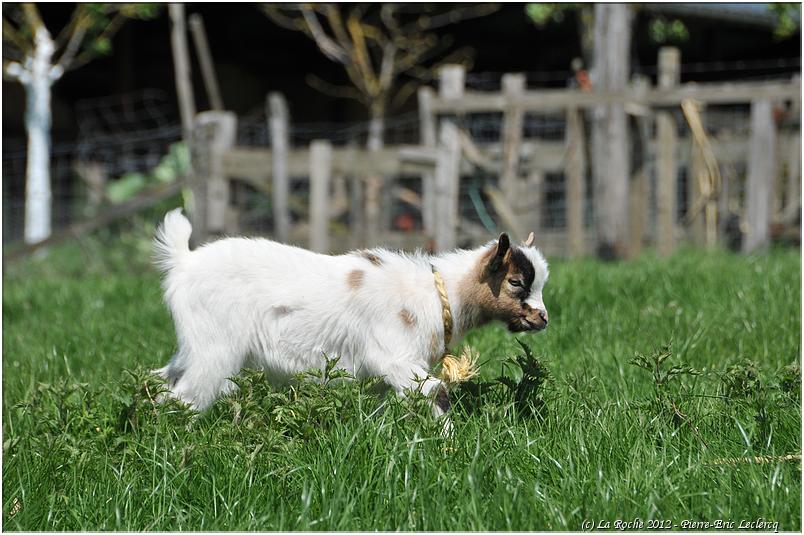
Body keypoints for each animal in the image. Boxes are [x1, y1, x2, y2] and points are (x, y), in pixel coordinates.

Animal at [154, 208, 548, 414]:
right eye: (516, 282)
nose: (542, 318)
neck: (439, 295)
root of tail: (184, 262)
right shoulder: (396, 356)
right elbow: (437, 391)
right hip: (215, 349)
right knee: (184, 397)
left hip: (195, 345)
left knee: (163, 380)